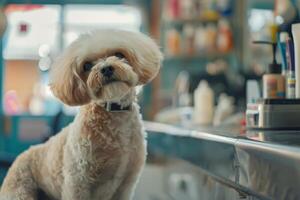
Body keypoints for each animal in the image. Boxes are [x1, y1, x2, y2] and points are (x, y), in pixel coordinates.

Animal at [0, 29, 163, 200]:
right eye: (87, 65)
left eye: (119, 54)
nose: (105, 69)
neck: (114, 112)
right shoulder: (78, 180)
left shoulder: (126, 183)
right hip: (19, 189)